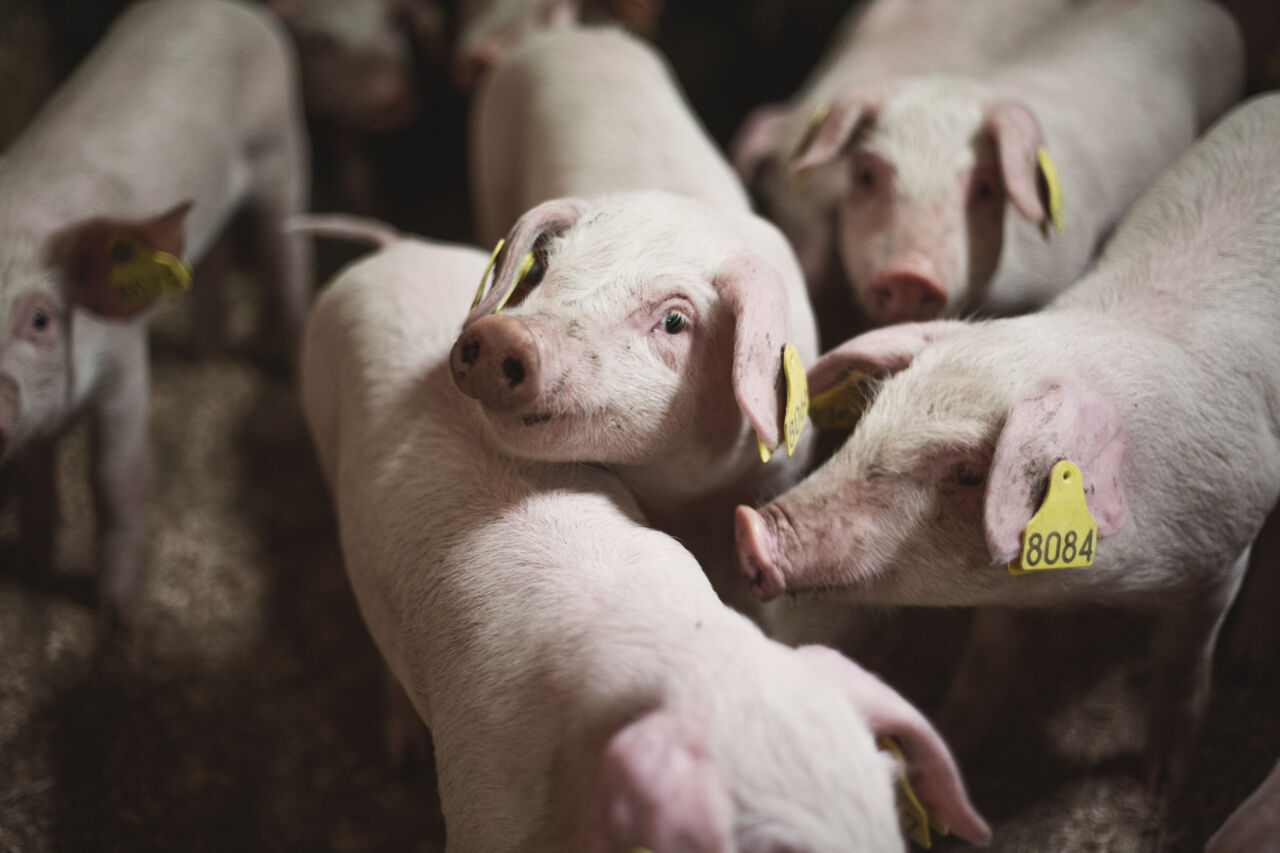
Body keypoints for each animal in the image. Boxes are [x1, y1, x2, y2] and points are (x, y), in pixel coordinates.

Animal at [0, 0, 311, 622]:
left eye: (41, 319)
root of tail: (235, 8)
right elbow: (38, 479)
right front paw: (33, 573)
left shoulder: (123, 359)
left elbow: (111, 475)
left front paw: (117, 613)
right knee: (214, 254)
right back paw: (205, 352)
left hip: (280, 143)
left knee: (286, 253)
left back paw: (289, 367)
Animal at [734, 93, 1280, 791]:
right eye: (872, 416)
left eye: (969, 472)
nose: (749, 527)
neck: (1095, 587)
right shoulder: (1005, 589)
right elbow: (989, 654)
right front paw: (956, 739)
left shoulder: (1221, 555)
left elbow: (1181, 664)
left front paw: (1161, 780)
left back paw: (1250, 662)